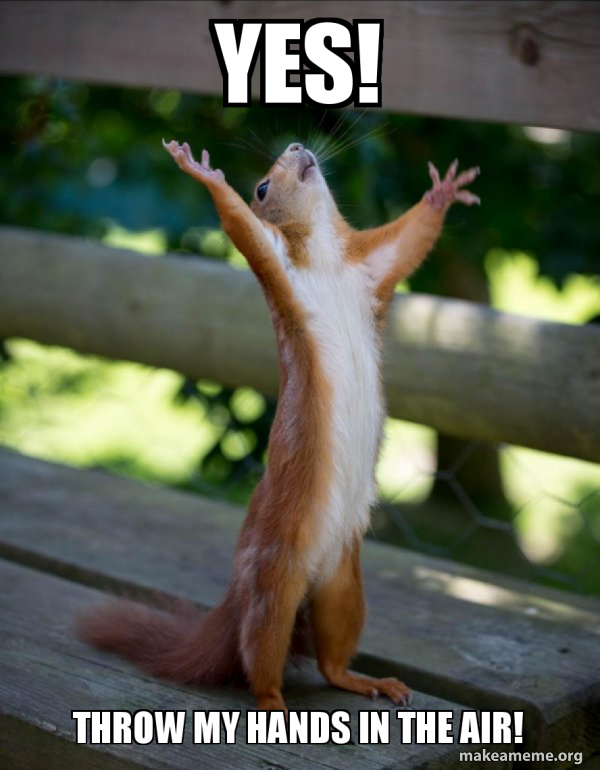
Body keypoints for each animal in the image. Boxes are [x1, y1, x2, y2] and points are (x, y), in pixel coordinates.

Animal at [78, 138, 480, 713]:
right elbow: (240, 225)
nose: (296, 146)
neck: (326, 258)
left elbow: (410, 240)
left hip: (344, 586)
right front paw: (204, 173)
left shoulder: (372, 267)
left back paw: (366, 680)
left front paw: (442, 192)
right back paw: (274, 703)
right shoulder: (276, 264)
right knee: (259, 656)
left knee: (332, 659)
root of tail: (238, 596)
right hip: (274, 584)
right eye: (262, 187)